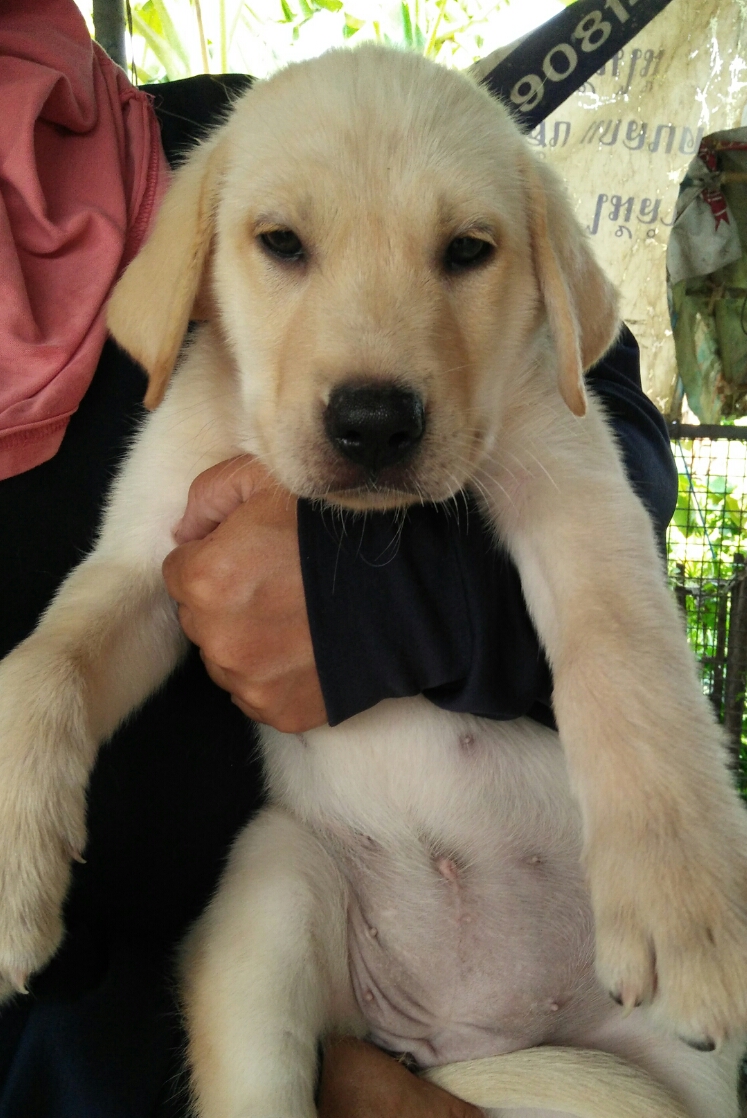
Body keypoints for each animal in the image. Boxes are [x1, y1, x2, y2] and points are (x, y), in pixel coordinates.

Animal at [0, 45, 746, 1118]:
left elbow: (624, 666)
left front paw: (686, 908)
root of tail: (464, 1031)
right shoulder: (144, 559)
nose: (373, 424)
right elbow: (44, 664)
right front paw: (11, 874)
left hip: (659, 1085)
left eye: (468, 251)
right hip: (274, 892)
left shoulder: (579, 500)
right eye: (280, 243)